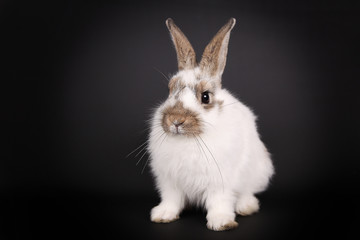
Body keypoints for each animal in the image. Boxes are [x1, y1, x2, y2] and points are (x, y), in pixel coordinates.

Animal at [146, 17, 272, 231]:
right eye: (170, 91)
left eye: (205, 97)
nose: (176, 120)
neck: (189, 139)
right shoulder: (170, 181)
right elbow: (171, 200)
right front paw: (163, 215)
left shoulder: (220, 181)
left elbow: (219, 201)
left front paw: (221, 223)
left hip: (257, 171)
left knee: (248, 192)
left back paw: (246, 207)